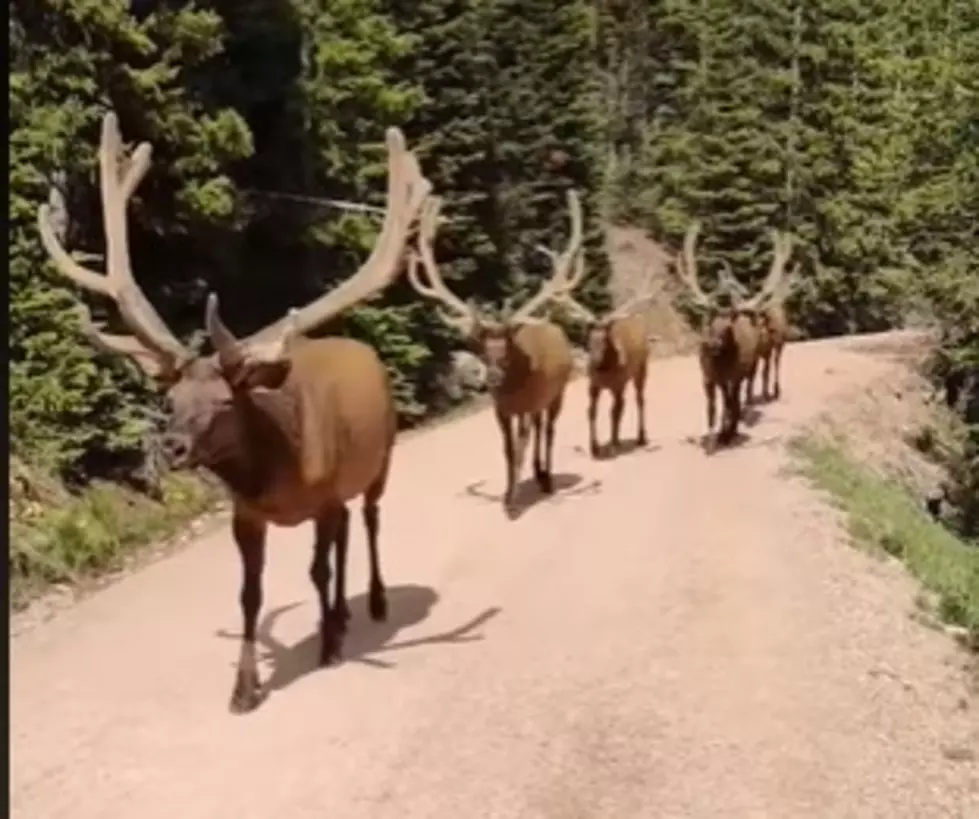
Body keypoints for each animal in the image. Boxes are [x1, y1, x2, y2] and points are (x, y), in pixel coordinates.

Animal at [39, 107, 428, 712]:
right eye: (170, 400)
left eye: (226, 401)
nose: (172, 446)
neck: (280, 475)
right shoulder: (246, 513)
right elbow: (251, 594)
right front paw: (245, 687)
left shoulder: (322, 495)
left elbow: (316, 570)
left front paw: (328, 648)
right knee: (345, 537)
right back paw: (342, 615)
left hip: (379, 460)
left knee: (367, 521)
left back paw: (373, 604)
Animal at [406, 193, 580, 512]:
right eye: (482, 348)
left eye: (508, 348)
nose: (494, 378)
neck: (515, 389)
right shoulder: (502, 410)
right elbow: (508, 450)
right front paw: (508, 495)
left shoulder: (529, 403)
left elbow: (521, 445)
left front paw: (514, 501)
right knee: (539, 428)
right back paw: (538, 473)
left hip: (557, 392)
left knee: (548, 430)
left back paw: (547, 478)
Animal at [672, 223, 788, 448]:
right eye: (710, 321)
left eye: (728, 328)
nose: (711, 344)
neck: (720, 365)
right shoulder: (707, 376)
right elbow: (711, 408)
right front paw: (710, 438)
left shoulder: (733, 375)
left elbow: (729, 403)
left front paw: (725, 433)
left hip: (755, 362)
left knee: (741, 394)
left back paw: (734, 428)